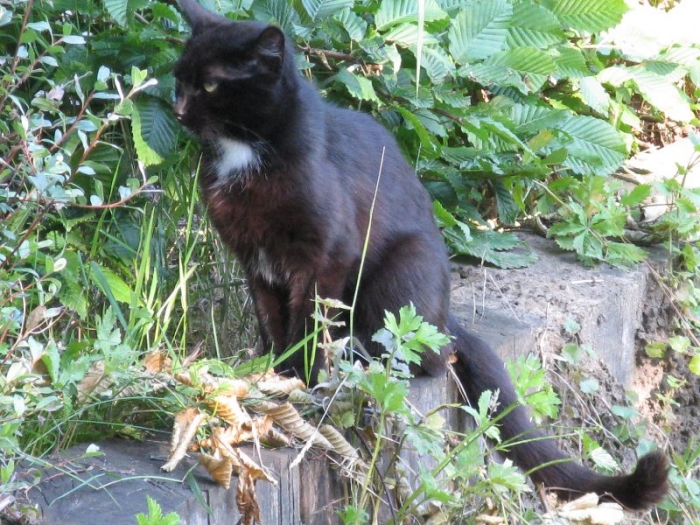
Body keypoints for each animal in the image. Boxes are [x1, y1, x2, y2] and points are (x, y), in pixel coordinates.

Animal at [174, 0, 668, 508]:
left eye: (208, 85)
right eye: (179, 78)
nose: (177, 110)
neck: (245, 152)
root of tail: (447, 316)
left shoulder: (325, 255)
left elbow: (310, 322)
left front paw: (300, 379)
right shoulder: (255, 260)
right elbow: (270, 319)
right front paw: (270, 373)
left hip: (402, 272)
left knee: (428, 355)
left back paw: (364, 356)